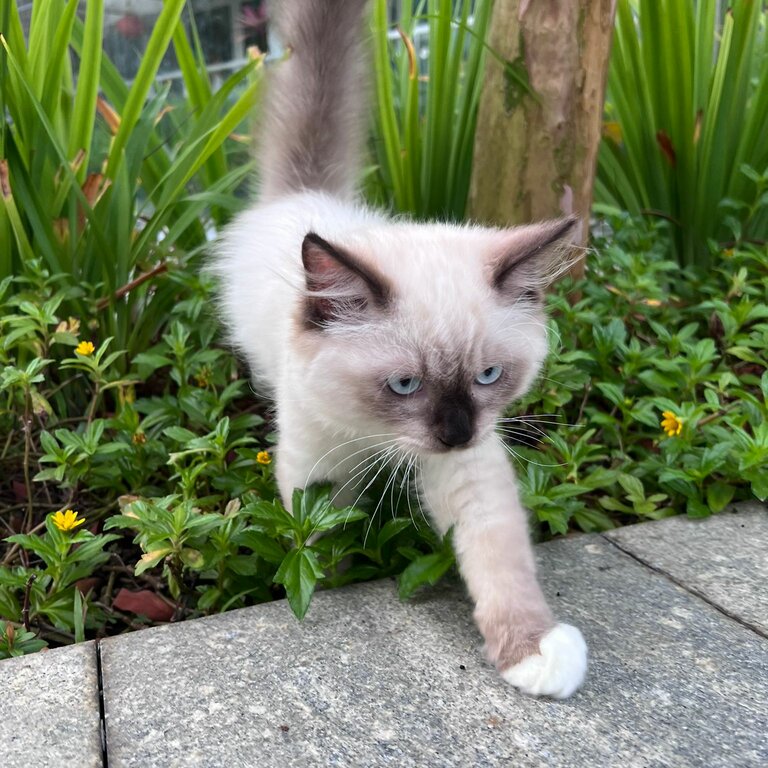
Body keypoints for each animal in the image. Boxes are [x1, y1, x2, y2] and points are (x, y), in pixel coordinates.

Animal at [214, 0, 588, 700]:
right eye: (405, 385)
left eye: (489, 375)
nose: (456, 432)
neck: (378, 438)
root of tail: (305, 196)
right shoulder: (317, 469)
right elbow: (316, 541)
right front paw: (335, 582)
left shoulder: (470, 471)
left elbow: (498, 560)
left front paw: (534, 653)